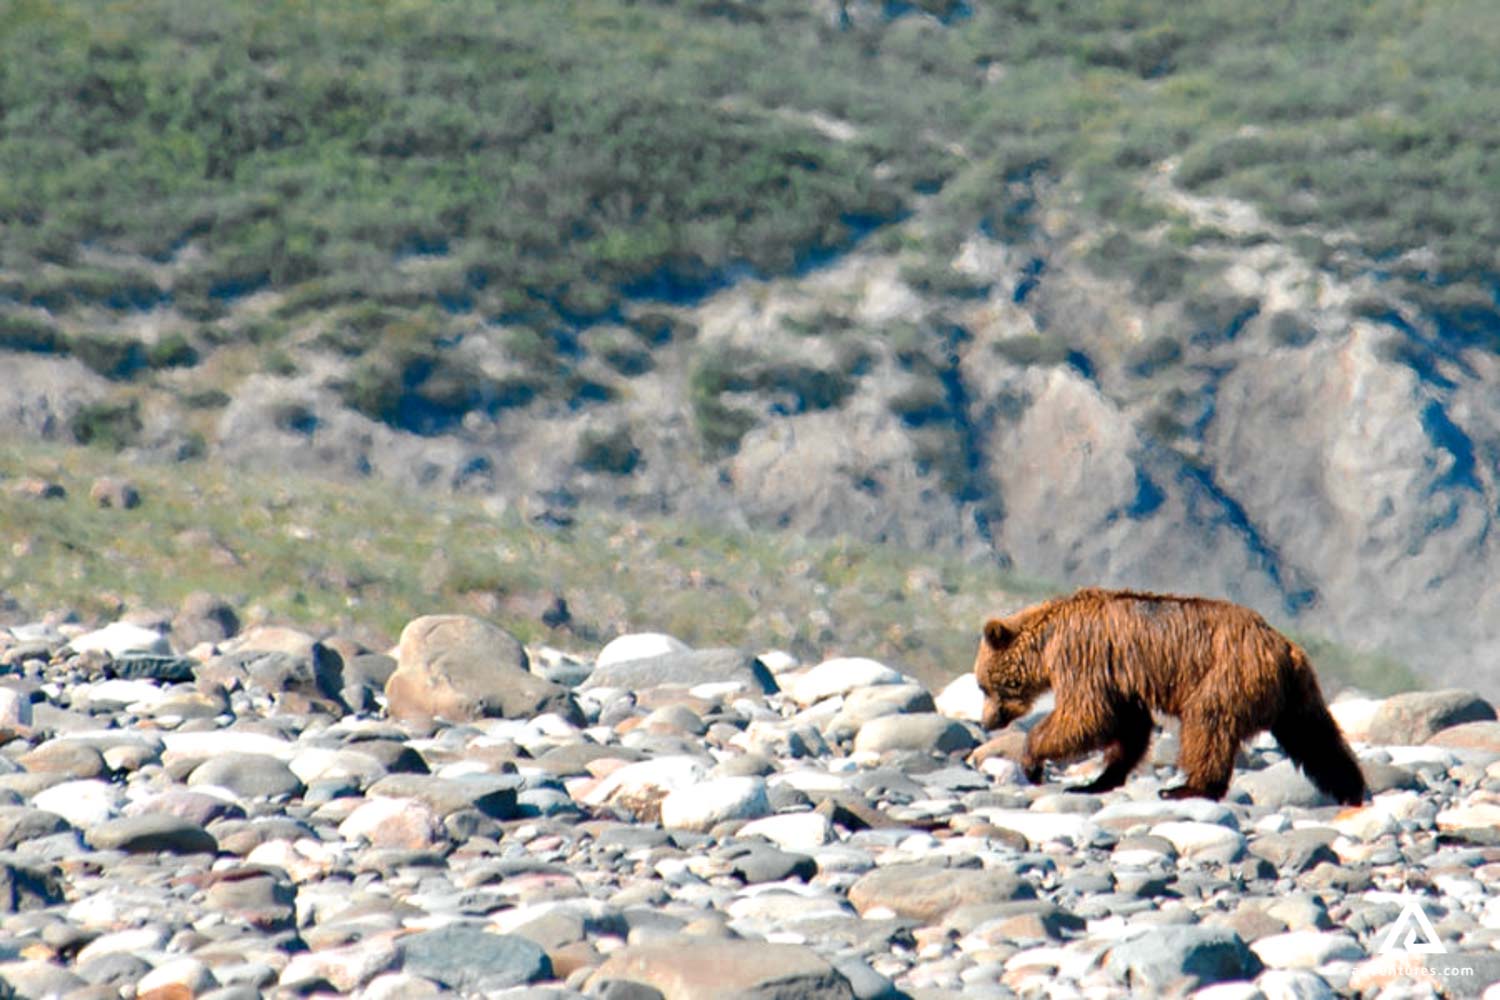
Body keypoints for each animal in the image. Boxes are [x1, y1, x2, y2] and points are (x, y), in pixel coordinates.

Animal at [973, 587, 1366, 804]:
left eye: (982, 686)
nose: (987, 721)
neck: (1047, 638)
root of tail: (1284, 646)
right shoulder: (1120, 679)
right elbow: (1128, 728)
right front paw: (1097, 781)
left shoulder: (1083, 656)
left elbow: (1086, 714)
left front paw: (1032, 760)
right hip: (1296, 694)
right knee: (1316, 739)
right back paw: (1351, 788)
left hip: (1226, 675)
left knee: (1207, 724)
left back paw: (1187, 788)